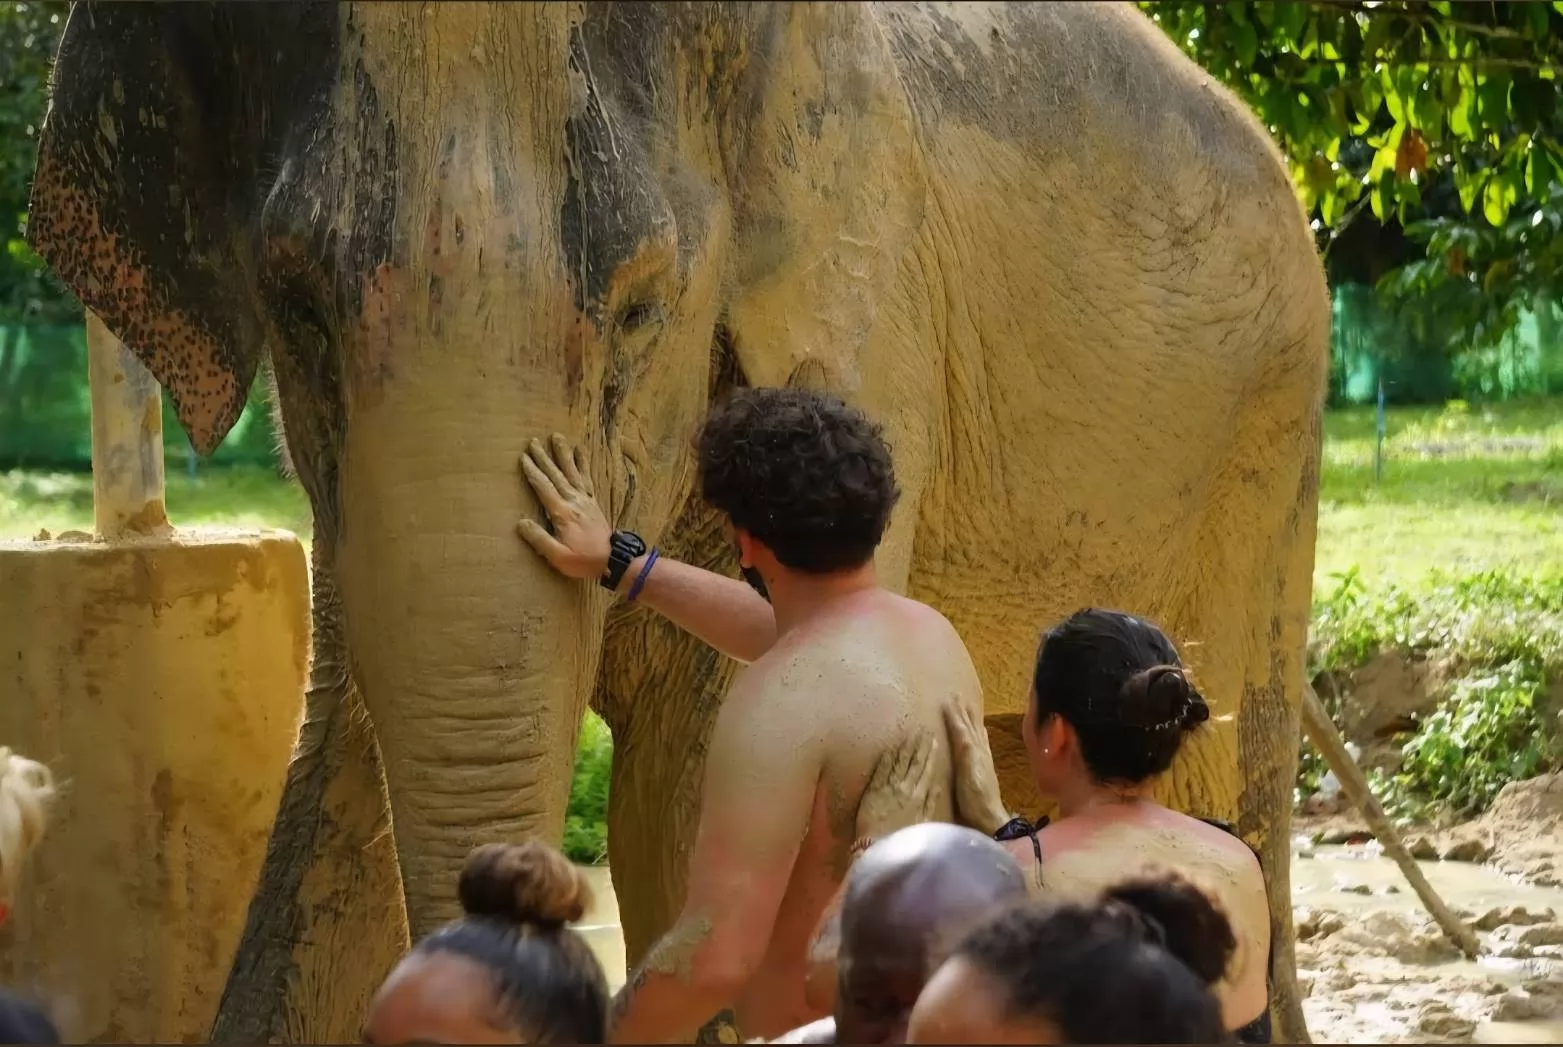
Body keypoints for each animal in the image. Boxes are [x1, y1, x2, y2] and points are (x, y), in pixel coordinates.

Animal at [29, 1, 1328, 1041]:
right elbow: (340, 782)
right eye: (296, 304)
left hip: (1267, 448)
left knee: (1229, 778)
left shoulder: (866, 315)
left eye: (641, 308)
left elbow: (688, 794)